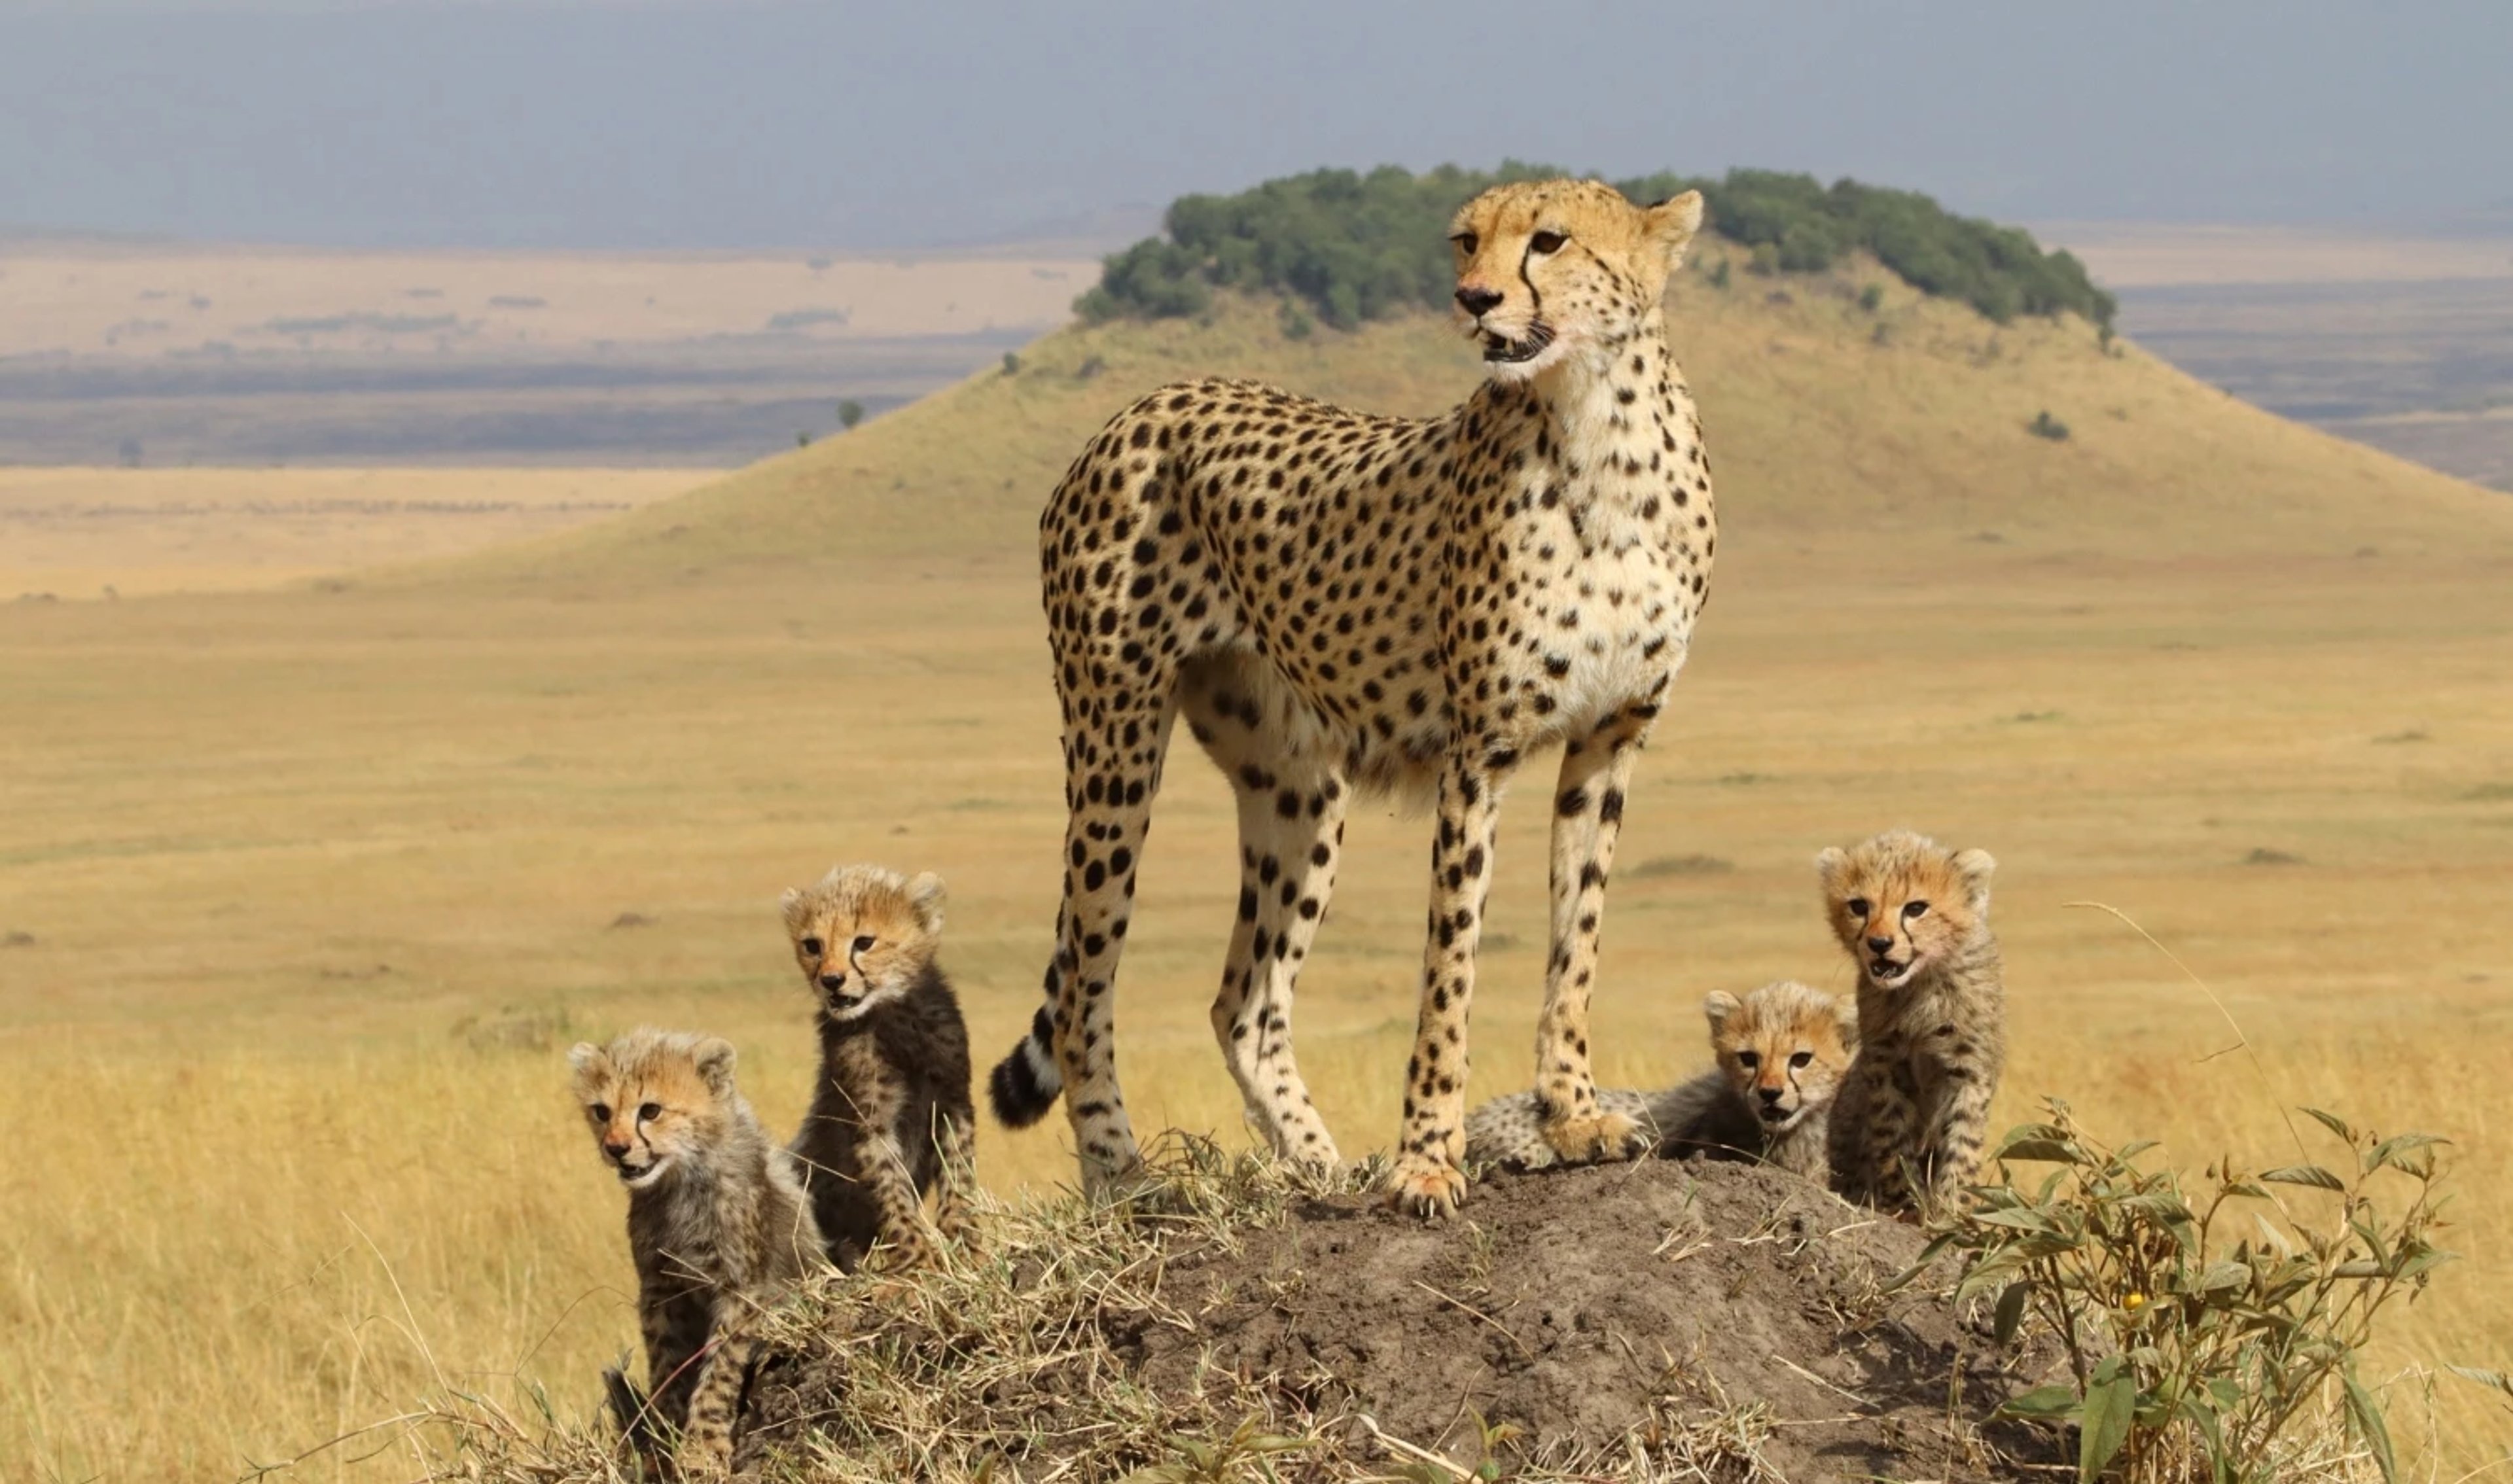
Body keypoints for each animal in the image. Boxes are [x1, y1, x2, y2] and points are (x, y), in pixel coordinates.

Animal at [989, 177, 1719, 1220]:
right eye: (1466, 240)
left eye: (1548, 240)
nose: (1475, 299)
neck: (1597, 429)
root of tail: (1144, 404)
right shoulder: (1479, 754)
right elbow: (1450, 967)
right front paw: (1427, 1162)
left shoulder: (1608, 742)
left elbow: (1574, 945)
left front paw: (1576, 1118)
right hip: (1114, 743)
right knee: (1087, 984)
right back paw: (1126, 1180)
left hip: (1298, 785)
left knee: (1244, 1002)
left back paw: (1321, 1168)